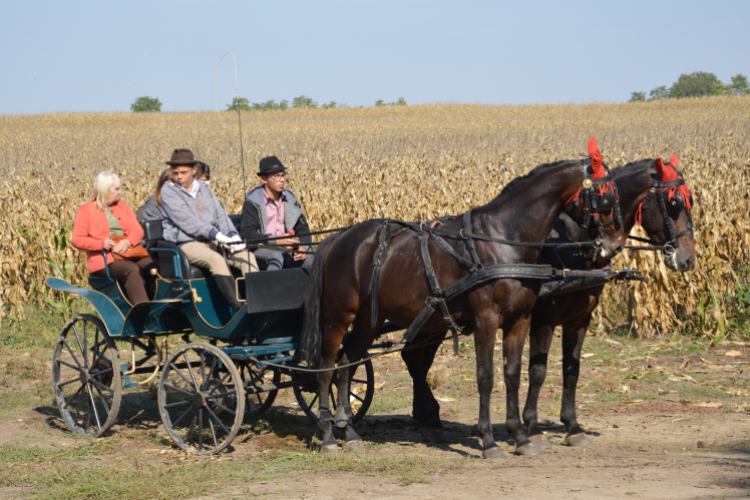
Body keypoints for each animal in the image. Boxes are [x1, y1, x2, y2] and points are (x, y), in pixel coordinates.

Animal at [306, 148, 628, 458]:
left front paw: (521, 437)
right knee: (326, 368)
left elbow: (513, 375)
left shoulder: (520, 319)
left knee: (346, 365)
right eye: (605, 196)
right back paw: (328, 435)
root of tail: (335, 240)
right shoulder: (486, 319)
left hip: (366, 321)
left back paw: (349, 433)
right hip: (337, 317)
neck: (503, 238)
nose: (615, 244)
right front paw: (489, 441)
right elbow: (486, 377)